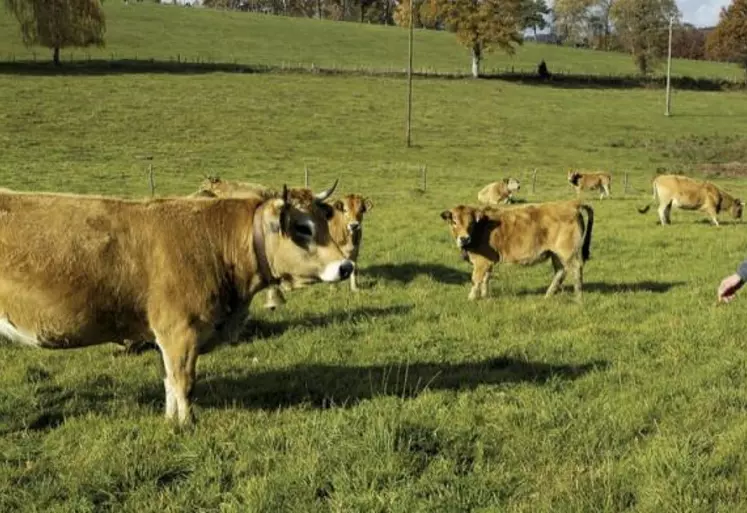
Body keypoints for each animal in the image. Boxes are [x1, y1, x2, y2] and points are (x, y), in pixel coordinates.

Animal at [0, 182, 354, 422]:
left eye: (323, 222)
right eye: (303, 227)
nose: (346, 266)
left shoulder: (165, 336)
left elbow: (169, 381)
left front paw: (171, 422)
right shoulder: (180, 331)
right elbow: (184, 381)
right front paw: (186, 425)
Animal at [438, 200, 596, 300]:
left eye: (471, 222)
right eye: (454, 221)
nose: (464, 238)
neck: (481, 227)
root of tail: (572, 204)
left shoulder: (481, 262)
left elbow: (476, 279)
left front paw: (471, 298)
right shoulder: (488, 261)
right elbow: (486, 279)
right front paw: (484, 296)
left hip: (568, 252)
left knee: (576, 269)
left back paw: (578, 297)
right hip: (556, 254)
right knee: (560, 271)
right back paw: (548, 295)